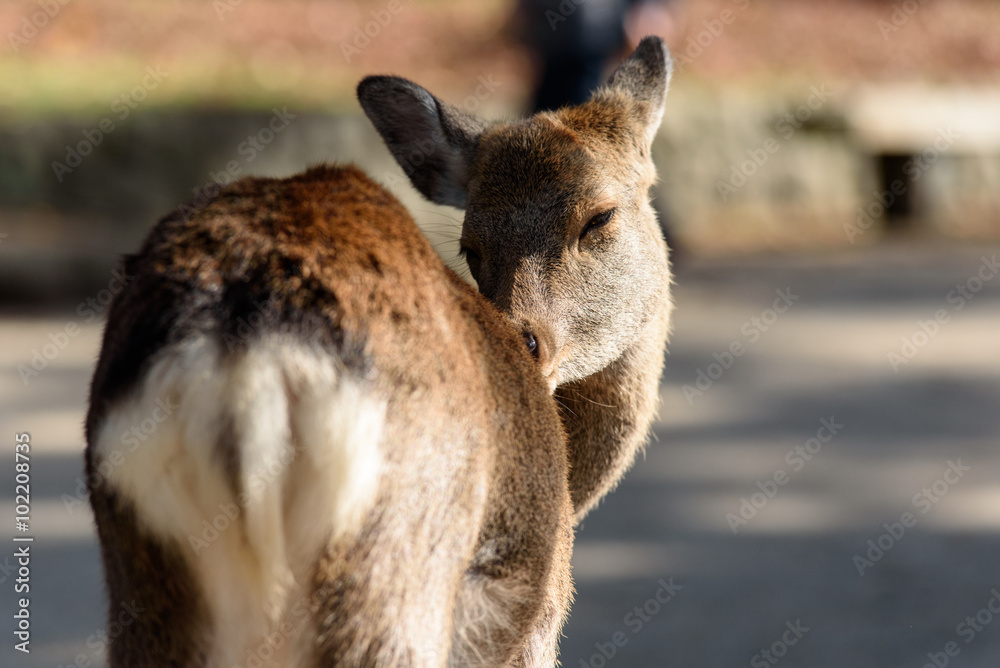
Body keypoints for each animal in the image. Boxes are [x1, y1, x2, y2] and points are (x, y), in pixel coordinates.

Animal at [84, 36, 673, 668]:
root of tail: (241, 356)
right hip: (401, 551)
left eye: (599, 217)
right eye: (471, 244)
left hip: (145, 574)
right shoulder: (535, 620)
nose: (526, 338)